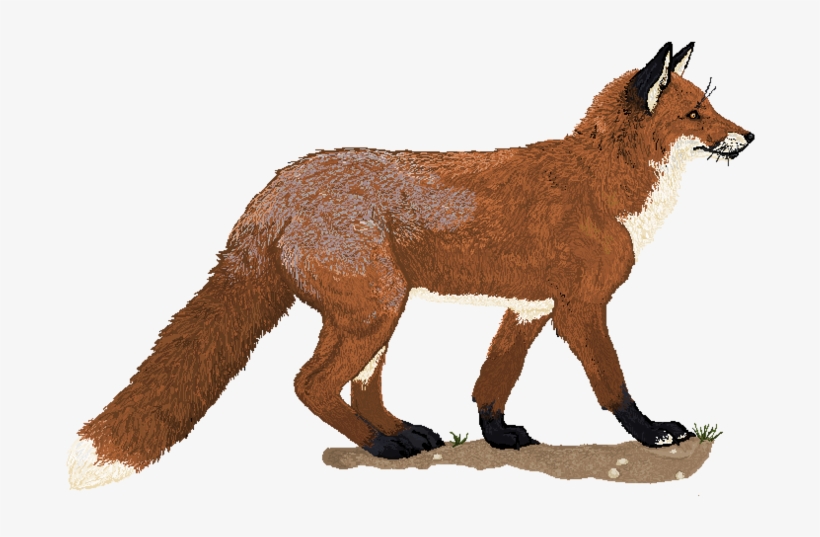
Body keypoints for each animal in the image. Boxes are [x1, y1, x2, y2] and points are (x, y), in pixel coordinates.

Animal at [68, 42, 753, 489]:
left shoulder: (527, 308)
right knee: (311, 384)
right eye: (695, 114)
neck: (606, 184)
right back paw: (382, 446)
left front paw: (498, 435)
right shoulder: (581, 309)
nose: (748, 136)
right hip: (375, 310)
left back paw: (402, 433)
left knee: (358, 388)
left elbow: (491, 383)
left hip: (377, 318)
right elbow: (612, 384)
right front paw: (653, 431)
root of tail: (274, 190)